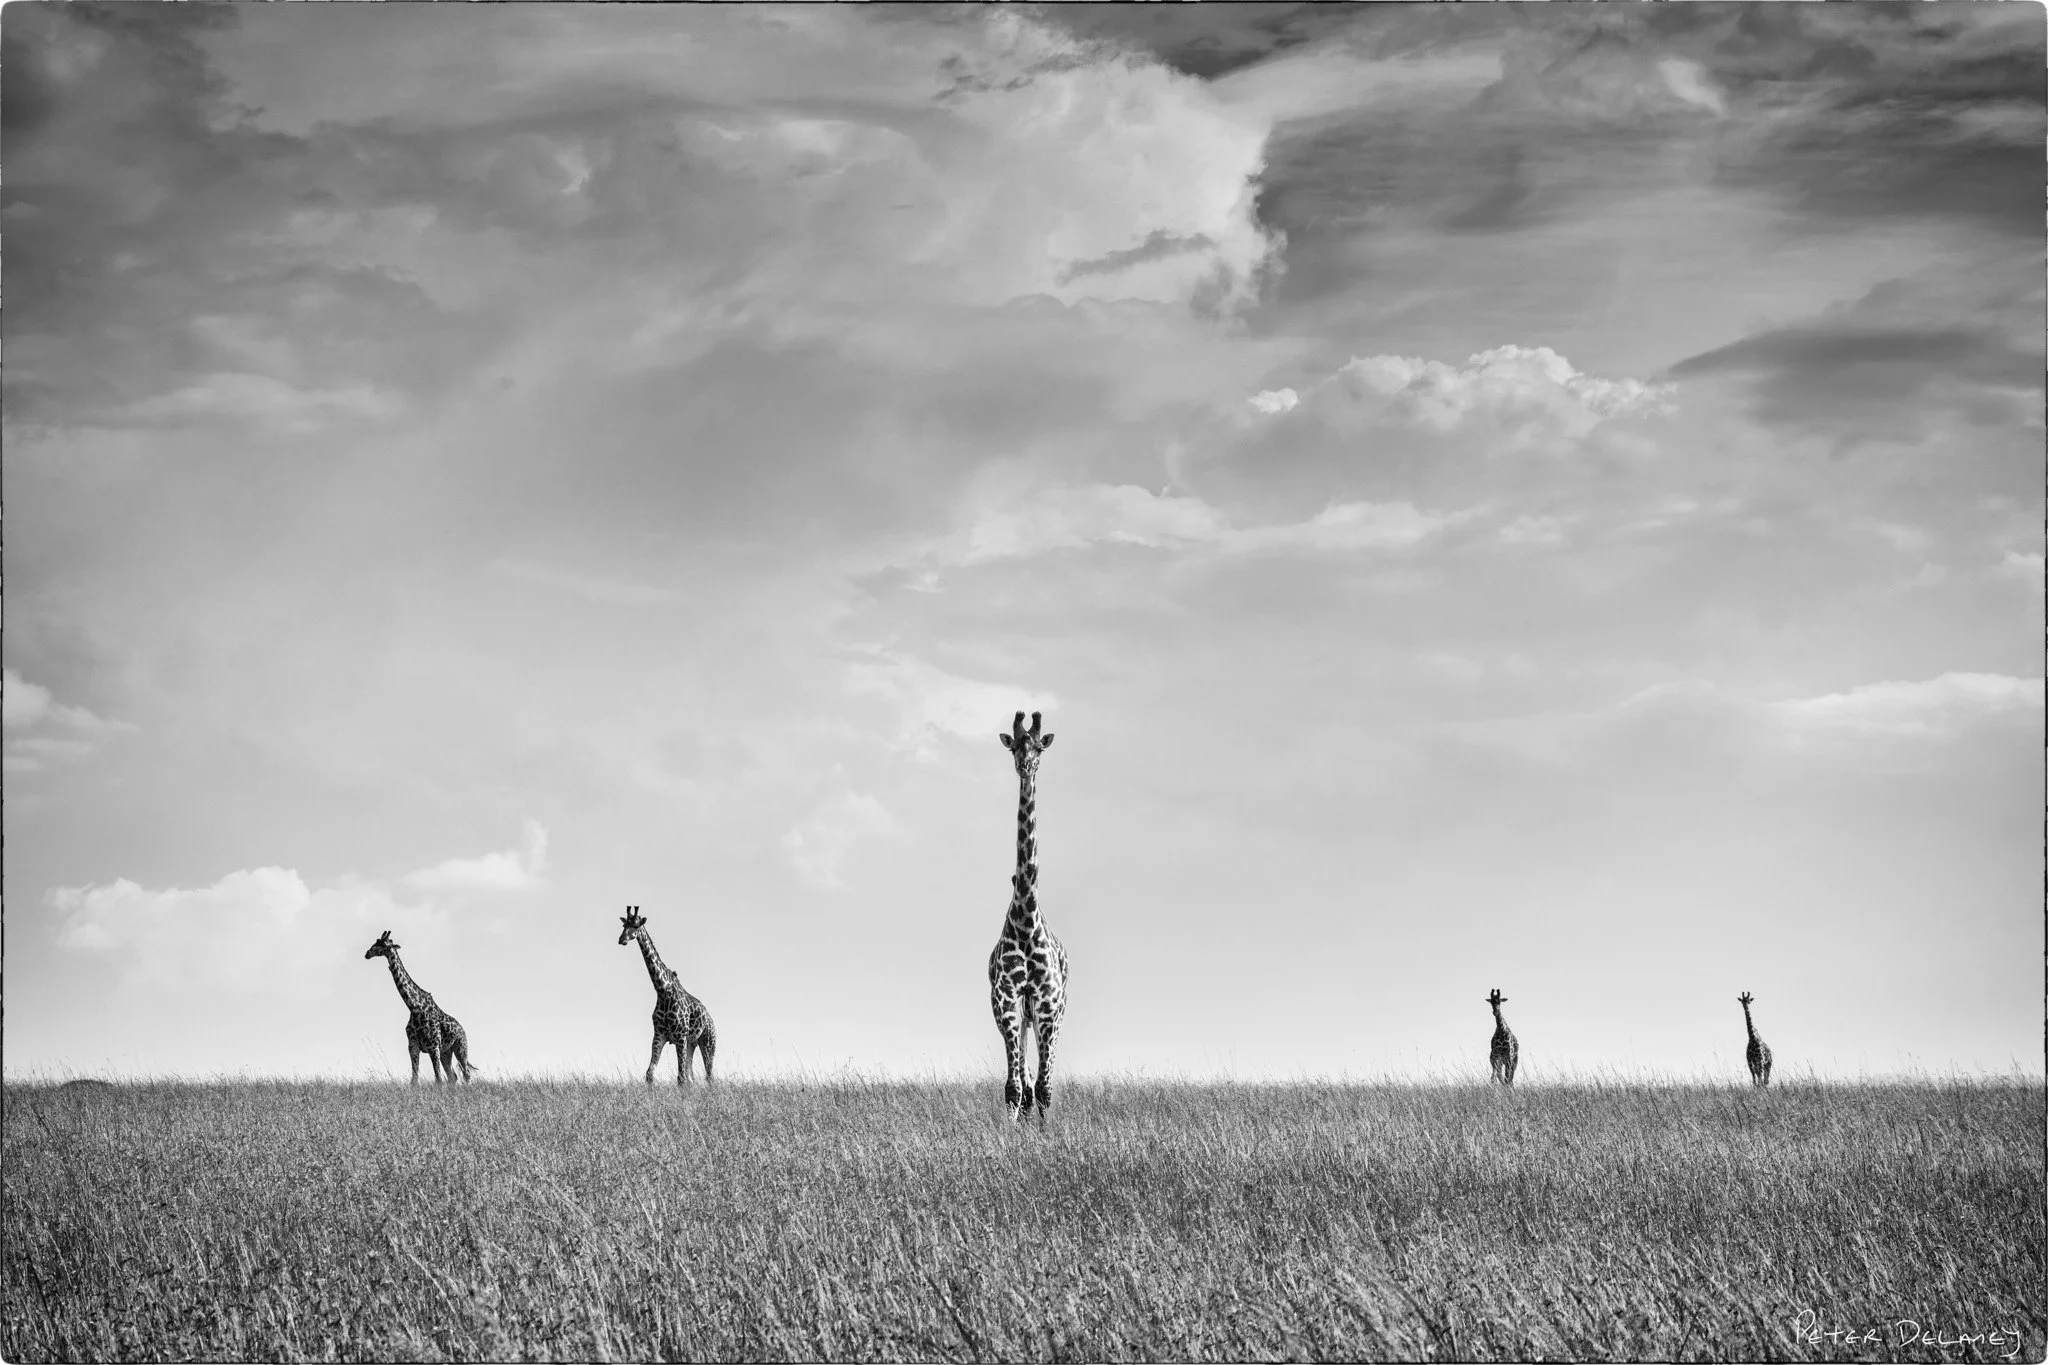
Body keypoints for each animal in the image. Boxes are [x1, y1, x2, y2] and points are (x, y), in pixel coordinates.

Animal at [363, 930, 473, 1084]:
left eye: (382, 944)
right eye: (376, 941)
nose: (367, 953)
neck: (415, 1008)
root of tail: (462, 1029)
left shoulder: (433, 1046)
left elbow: (438, 1079)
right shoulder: (413, 1045)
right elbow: (414, 1079)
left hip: (460, 1047)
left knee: (466, 1073)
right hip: (446, 1051)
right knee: (453, 1076)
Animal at [617, 906, 717, 1087]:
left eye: (636, 926)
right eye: (623, 925)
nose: (622, 939)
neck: (662, 991)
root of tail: (710, 1019)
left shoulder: (680, 1036)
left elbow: (680, 1078)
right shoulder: (659, 1034)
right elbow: (650, 1074)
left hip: (707, 1042)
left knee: (708, 1076)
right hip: (692, 1043)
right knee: (692, 1076)